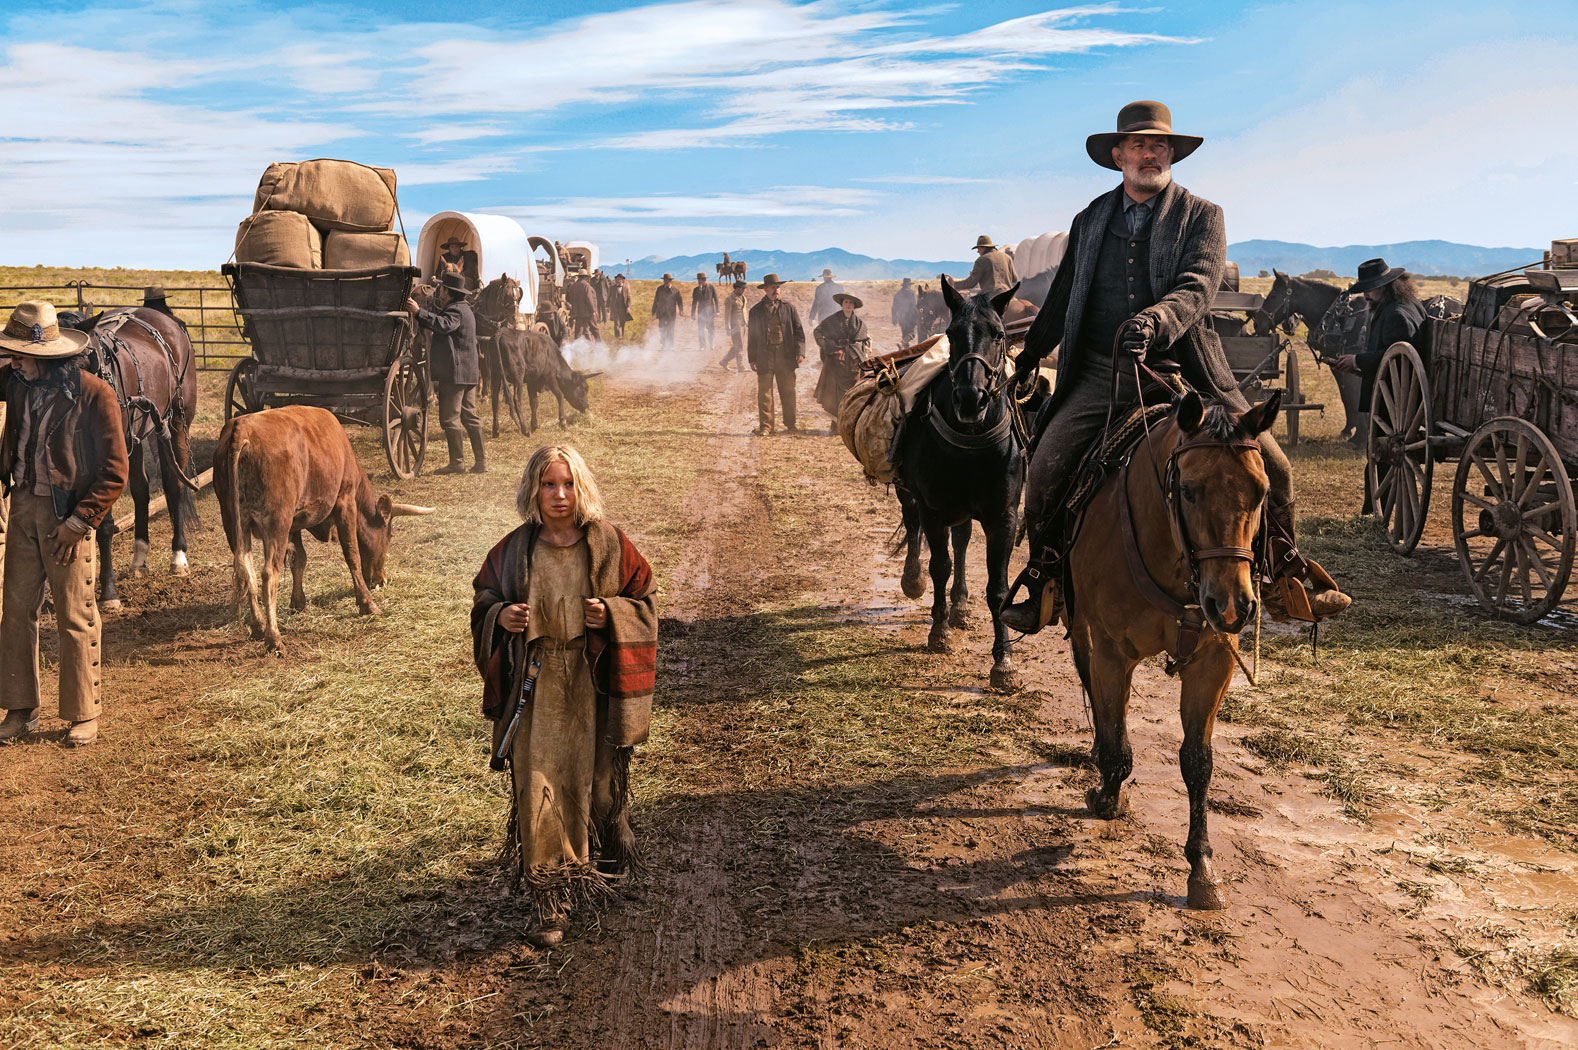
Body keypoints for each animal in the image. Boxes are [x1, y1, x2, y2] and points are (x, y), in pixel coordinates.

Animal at [64, 307, 200, 609]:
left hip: (176, 422)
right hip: (135, 437)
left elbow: (104, 524)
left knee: (174, 484)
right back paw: (139, 558)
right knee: (141, 490)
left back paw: (179, 557)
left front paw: (108, 593)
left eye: (87, 358)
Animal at [214, 406, 434, 654]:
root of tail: (242, 429)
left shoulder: (295, 523)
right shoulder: (345, 501)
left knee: (246, 570)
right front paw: (367, 603)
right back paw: (274, 638)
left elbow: (299, 559)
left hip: (234, 524)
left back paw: (258, 626)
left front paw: (298, 602)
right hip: (276, 524)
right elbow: (352, 554)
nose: (382, 579)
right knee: (268, 574)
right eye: (389, 536)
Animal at [893, 277, 1025, 691]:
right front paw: (939, 633)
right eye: (952, 334)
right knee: (914, 526)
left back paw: (961, 604)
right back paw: (914, 580)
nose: (971, 398)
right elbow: (940, 565)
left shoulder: (1003, 517)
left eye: (999, 334)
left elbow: (998, 588)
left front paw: (1004, 663)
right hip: (911, 494)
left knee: (963, 539)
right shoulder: (934, 508)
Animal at [1065, 386, 1281, 909]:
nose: (1232, 605)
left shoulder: (1213, 663)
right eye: (1189, 490)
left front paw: (1202, 868)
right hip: (1079, 624)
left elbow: (1198, 762)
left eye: (1261, 492)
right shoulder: (1112, 652)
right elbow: (1118, 742)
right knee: (1087, 677)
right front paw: (1108, 796)